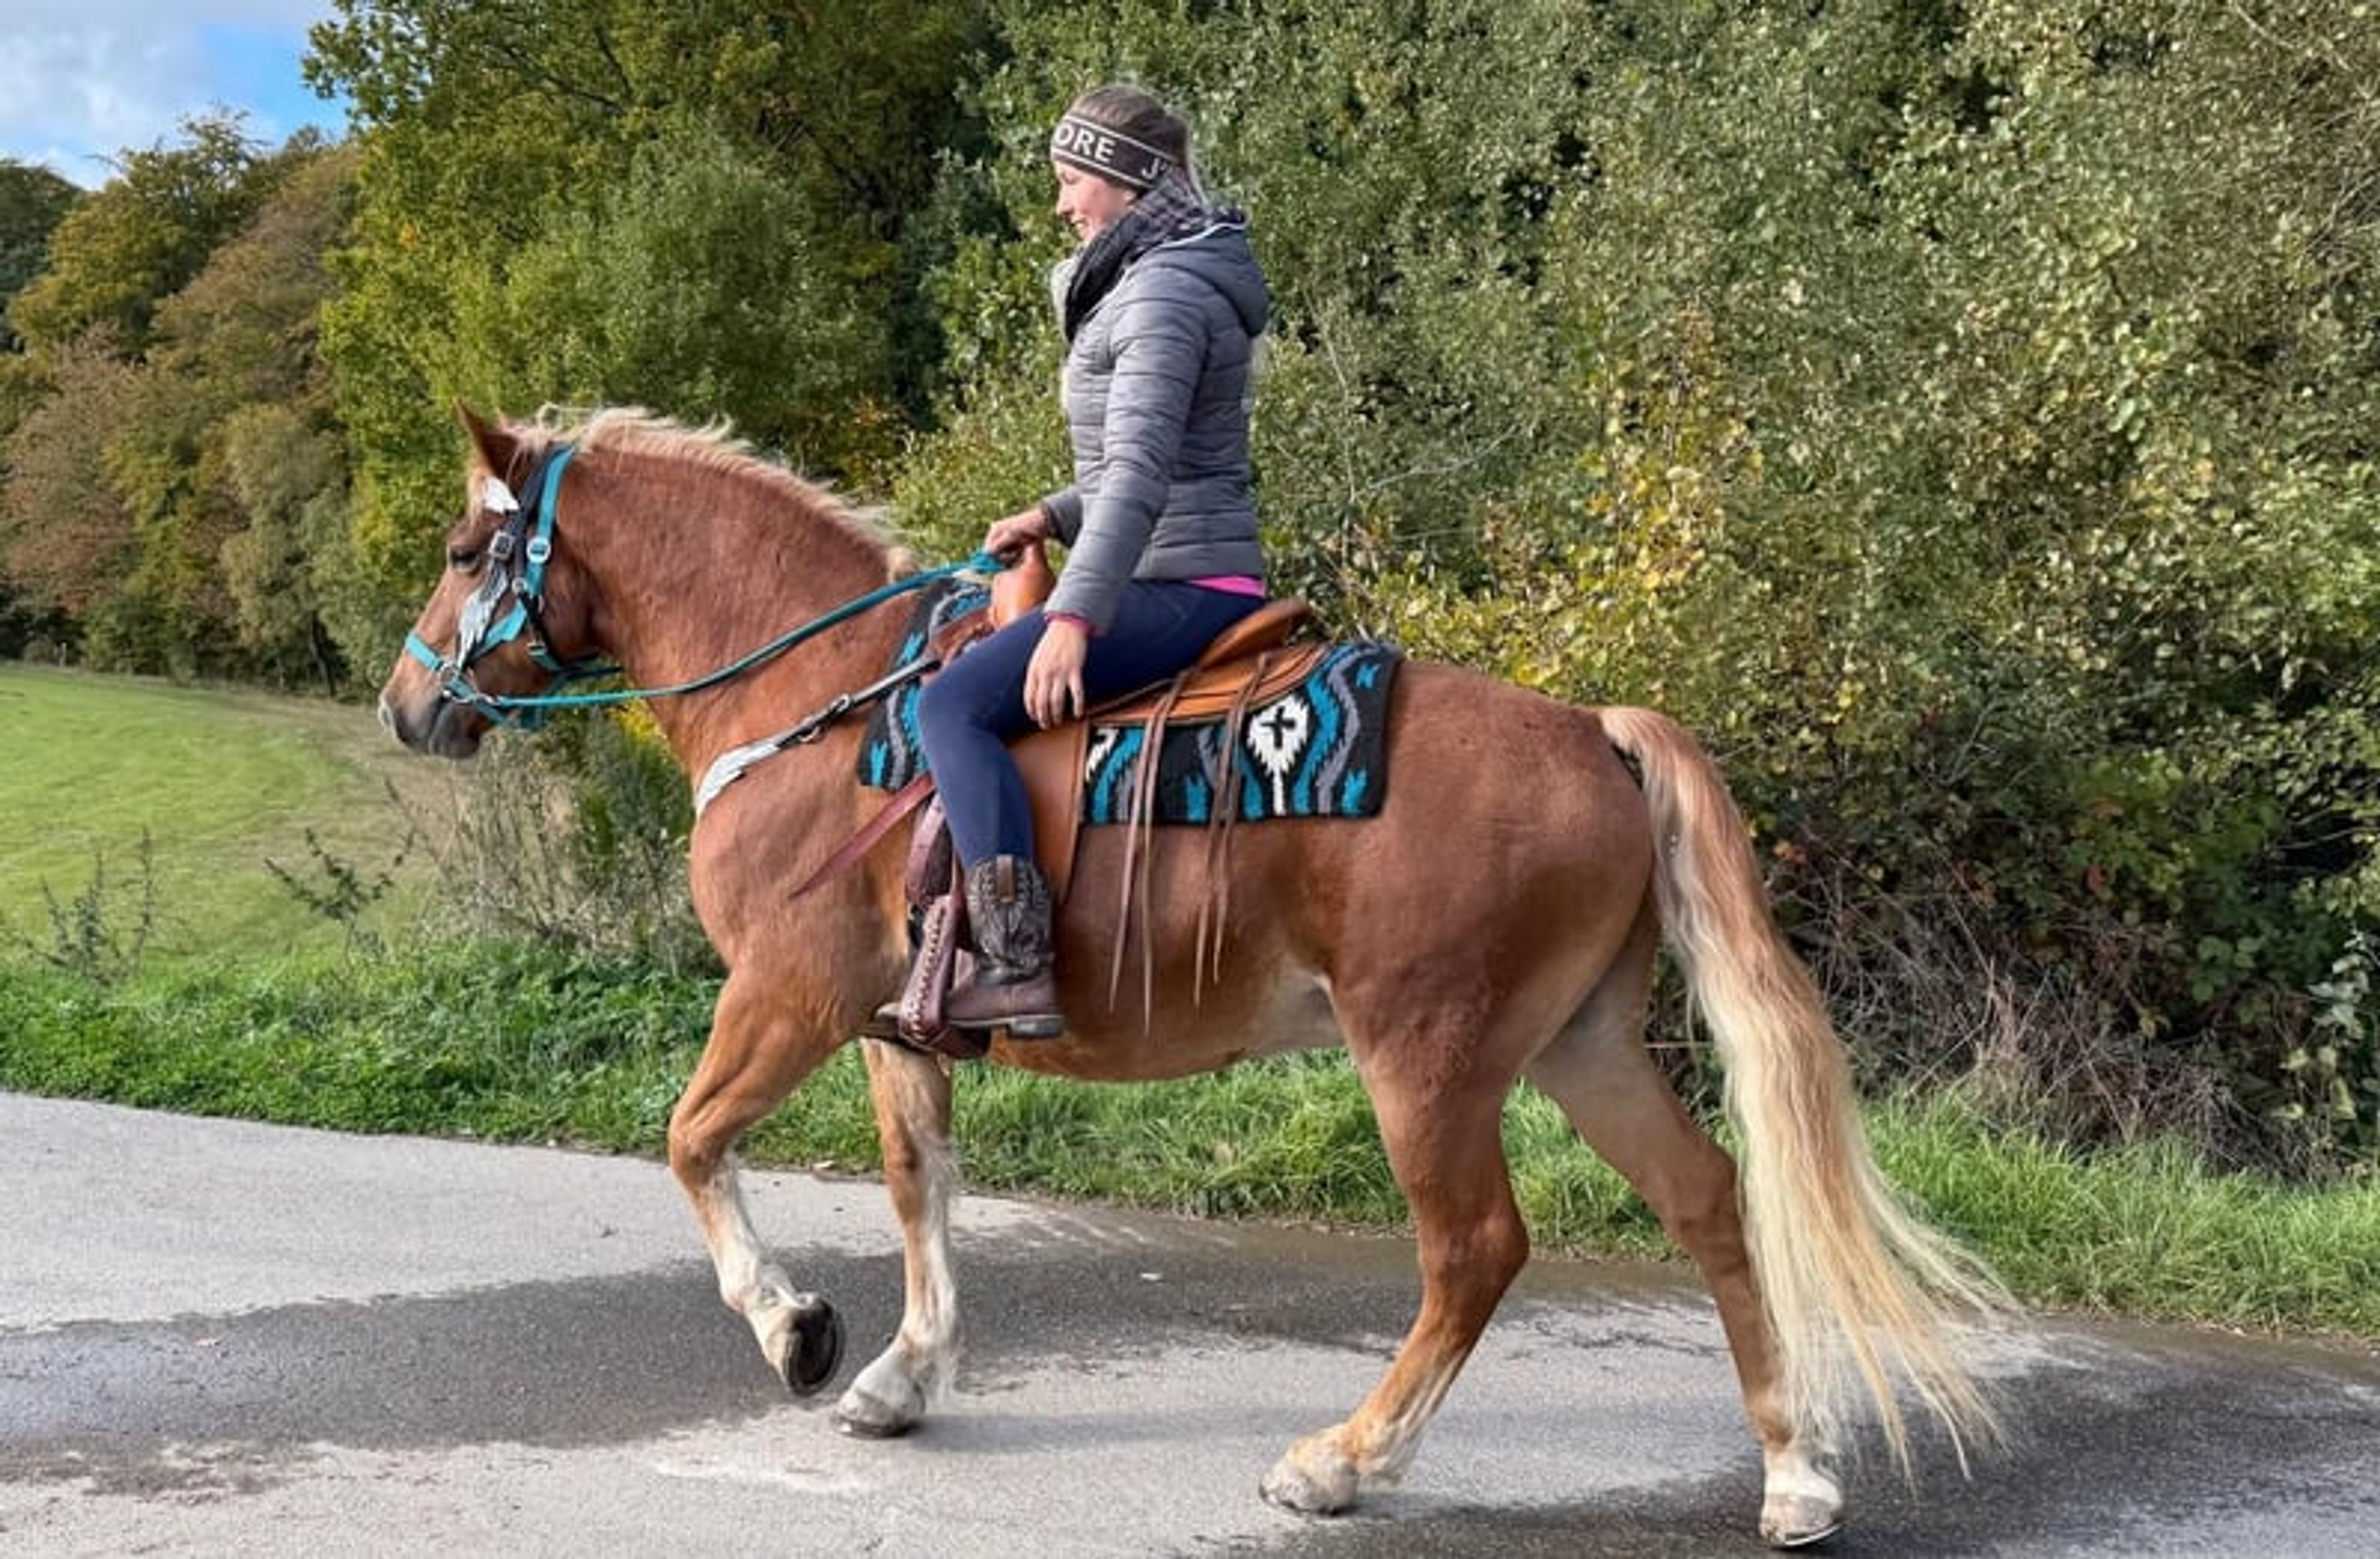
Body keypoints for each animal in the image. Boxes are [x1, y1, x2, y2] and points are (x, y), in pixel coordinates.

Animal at [378, 406, 2005, 1548]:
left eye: (465, 554)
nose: (404, 705)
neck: (819, 706)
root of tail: (1590, 732)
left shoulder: (787, 994)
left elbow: (692, 1141)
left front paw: (797, 1329)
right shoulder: (899, 1026)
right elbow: (920, 1188)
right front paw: (903, 1376)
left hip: (1430, 1057)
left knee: (1475, 1250)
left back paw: (1342, 1463)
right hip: (1582, 1045)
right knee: (1709, 1202)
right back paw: (1793, 1474)